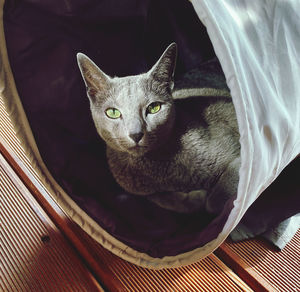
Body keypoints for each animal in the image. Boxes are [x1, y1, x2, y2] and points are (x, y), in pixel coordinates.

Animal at [78, 42, 241, 212]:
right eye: (113, 113)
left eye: (154, 108)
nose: (136, 134)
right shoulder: (144, 192)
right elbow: (163, 199)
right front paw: (196, 197)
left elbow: (213, 201)